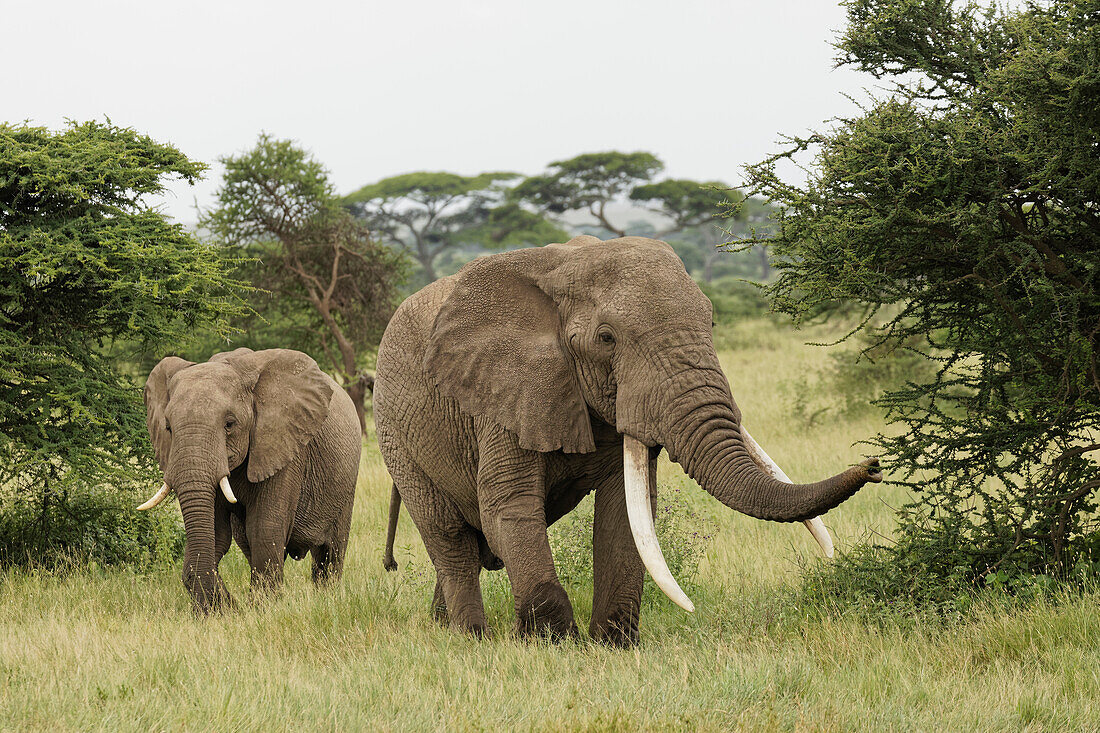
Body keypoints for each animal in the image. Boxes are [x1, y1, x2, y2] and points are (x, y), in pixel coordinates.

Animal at [136, 345, 360, 607]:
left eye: (229, 424)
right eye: (168, 428)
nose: (232, 604)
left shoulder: (285, 447)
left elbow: (264, 528)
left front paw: (264, 609)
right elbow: (216, 534)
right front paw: (224, 610)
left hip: (345, 484)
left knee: (331, 552)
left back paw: (326, 598)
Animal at [374, 236, 880, 642]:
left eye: (711, 324)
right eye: (606, 338)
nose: (873, 465)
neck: (564, 267)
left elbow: (626, 514)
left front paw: (612, 645)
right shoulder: (504, 391)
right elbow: (509, 506)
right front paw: (551, 645)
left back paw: (443, 624)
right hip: (396, 434)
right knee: (450, 538)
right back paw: (470, 636)